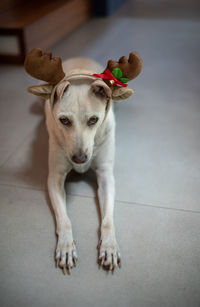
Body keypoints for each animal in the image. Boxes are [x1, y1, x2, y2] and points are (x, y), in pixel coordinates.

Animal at [24, 49, 142, 276]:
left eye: (93, 120)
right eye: (64, 120)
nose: (79, 160)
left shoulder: (106, 176)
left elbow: (107, 220)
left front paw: (109, 247)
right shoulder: (54, 178)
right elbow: (64, 220)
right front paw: (65, 247)